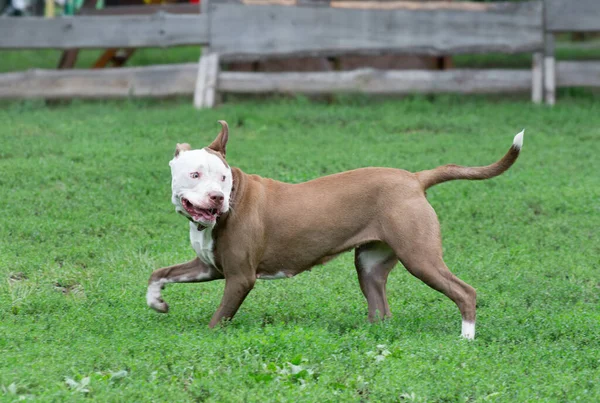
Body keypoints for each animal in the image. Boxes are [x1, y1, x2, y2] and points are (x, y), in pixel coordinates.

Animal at [148, 121, 524, 340]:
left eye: (223, 177)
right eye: (195, 174)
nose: (217, 198)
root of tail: (415, 179)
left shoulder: (240, 276)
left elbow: (218, 320)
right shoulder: (208, 266)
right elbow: (159, 273)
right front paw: (157, 303)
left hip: (420, 256)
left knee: (465, 292)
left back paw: (466, 339)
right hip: (370, 265)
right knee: (381, 310)